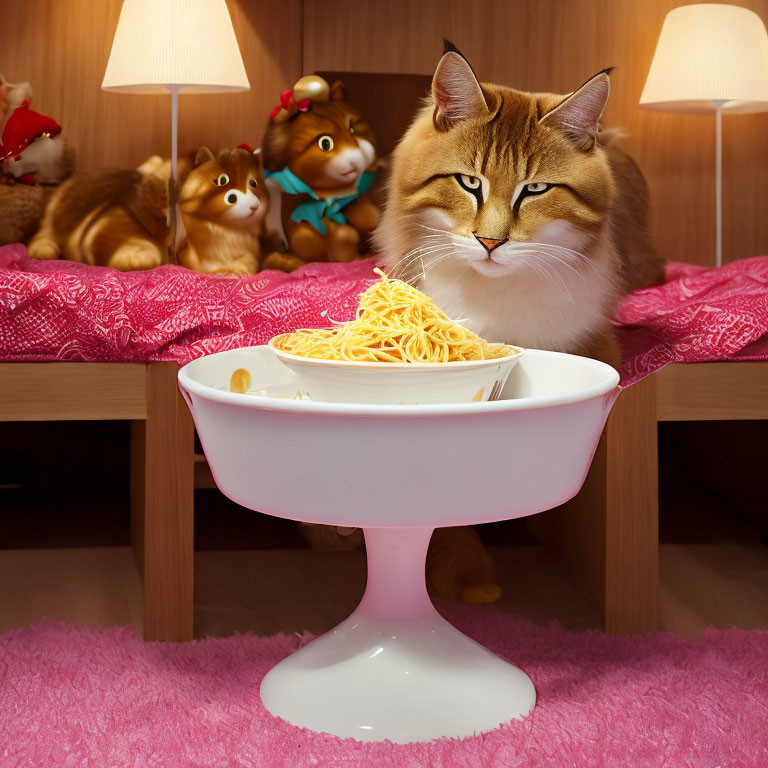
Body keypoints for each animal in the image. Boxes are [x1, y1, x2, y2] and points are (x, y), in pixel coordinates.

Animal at [29, 146, 268, 274]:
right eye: (222, 181)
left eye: (253, 182)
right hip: (55, 219)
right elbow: (147, 254)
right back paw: (44, 249)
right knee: (44, 236)